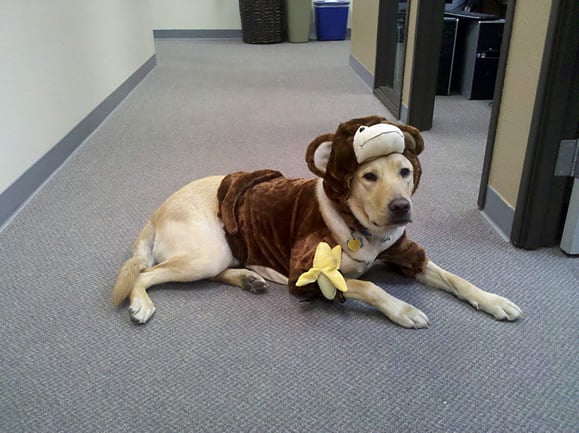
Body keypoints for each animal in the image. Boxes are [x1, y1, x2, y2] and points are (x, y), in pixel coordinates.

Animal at [111, 116, 524, 326]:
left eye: (405, 171)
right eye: (369, 176)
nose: (401, 207)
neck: (364, 229)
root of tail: (157, 210)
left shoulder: (404, 253)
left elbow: (456, 279)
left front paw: (493, 301)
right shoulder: (309, 272)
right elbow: (368, 286)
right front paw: (402, 309)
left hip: (218, 254)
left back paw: (248, 279)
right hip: (205, 253)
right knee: (144, 274)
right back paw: (140, 302)